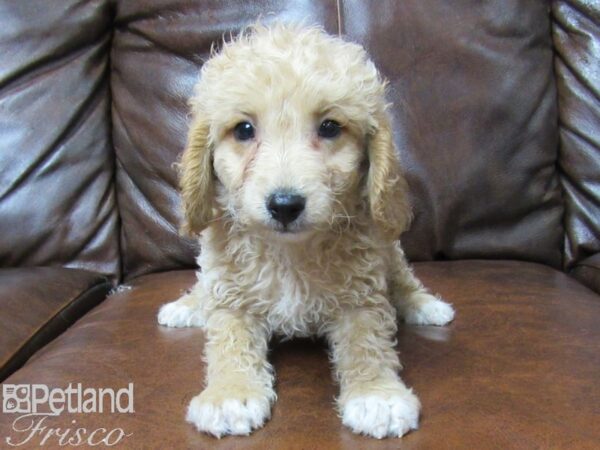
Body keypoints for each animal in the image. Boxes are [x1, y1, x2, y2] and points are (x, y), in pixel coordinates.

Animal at [157, 23, 452, 440]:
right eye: (243, 129)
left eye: (329, 127)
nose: (284, 204)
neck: (289, 253)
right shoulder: (230, 296)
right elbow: (228, 339)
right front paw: (231, 393)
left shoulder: (362, 293)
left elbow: (368, 341)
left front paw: (376, 394)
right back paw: (186, 306)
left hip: (390, 252)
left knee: (403, 278)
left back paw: (424, 304)